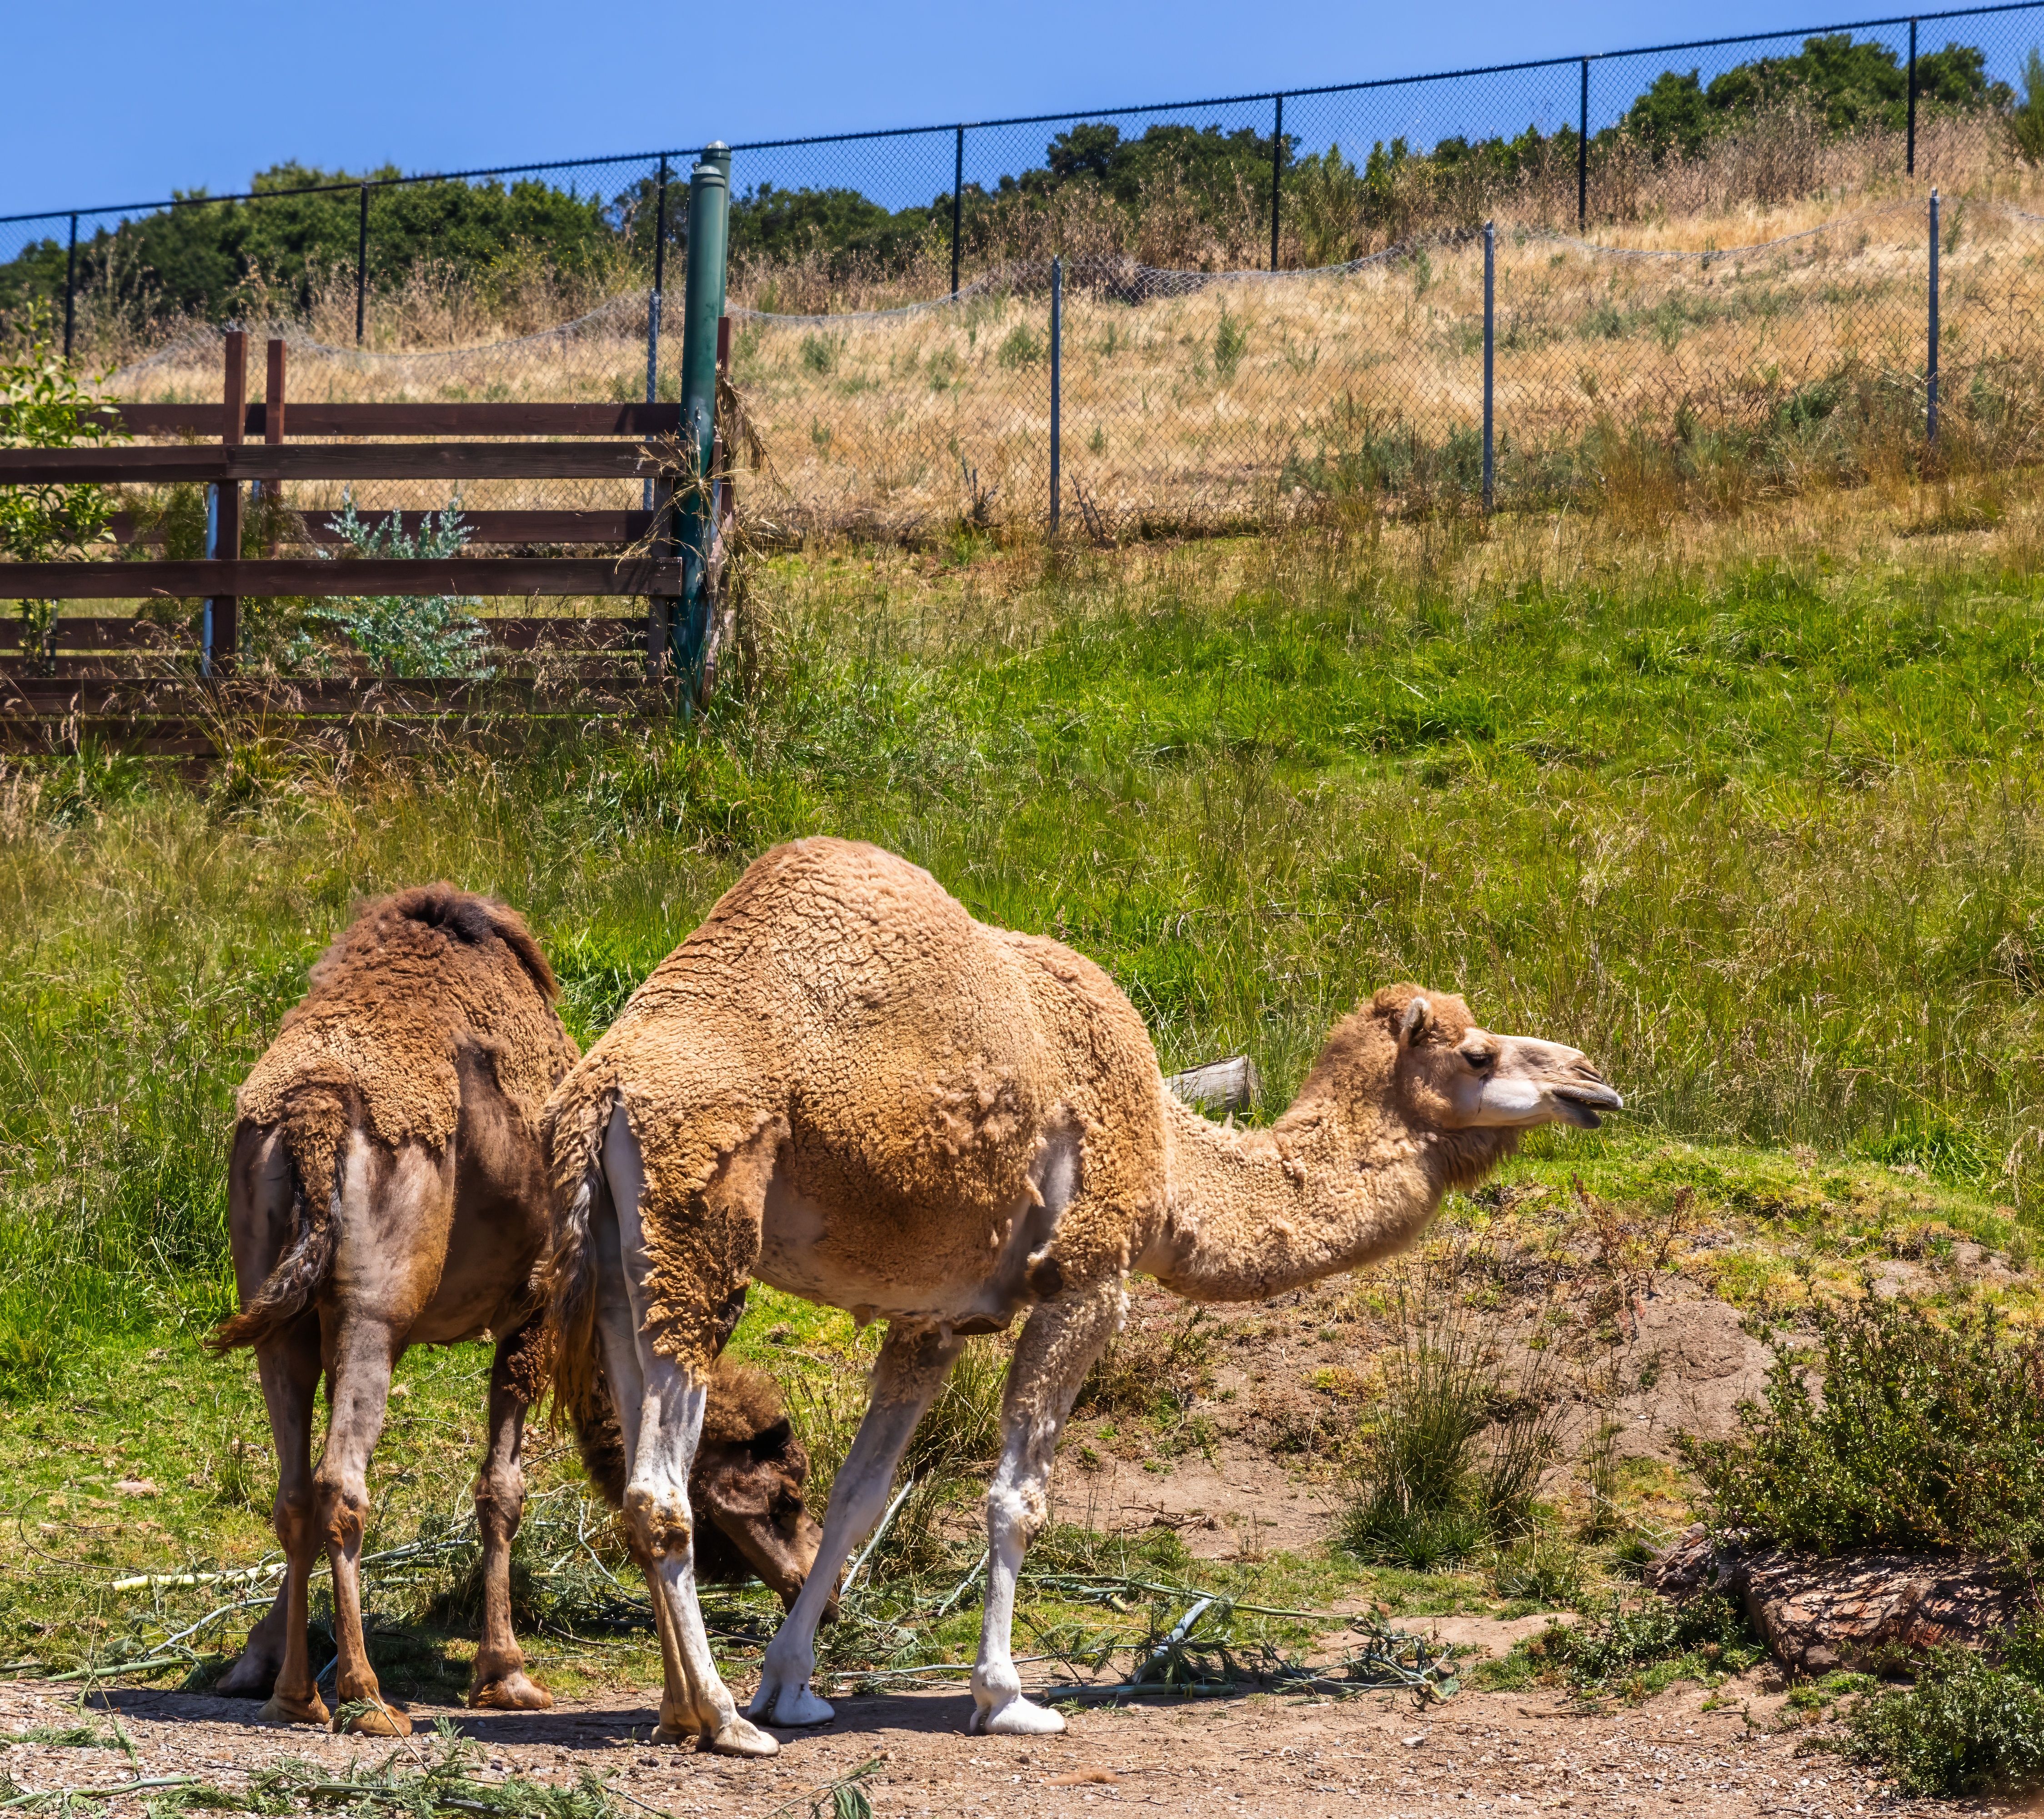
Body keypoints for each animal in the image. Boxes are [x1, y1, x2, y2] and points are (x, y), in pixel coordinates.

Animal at [212, 885, 826, 1734]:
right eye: (782, 1498)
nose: (814, 1582)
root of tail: (315, 1112)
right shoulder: (534, 1310)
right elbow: (502, 1490)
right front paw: (507, 1673)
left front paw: (254, 1661)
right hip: (372, 1310)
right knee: (341, 1485)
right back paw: (367, 1697)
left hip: (277, 1301)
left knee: (296, 1489)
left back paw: (299, 1695)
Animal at [541, 837, 1621, 1755]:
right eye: (1478, 1056)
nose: (1592, 1080)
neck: (1174, 1163)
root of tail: (602, 1087)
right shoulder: (1089, 1281)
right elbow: (1016, 1496)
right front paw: (1006, 1696)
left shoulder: (931, 1318)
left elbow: (857, 1497)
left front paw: (794, 1686)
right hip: (702, 1231)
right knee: (659, 1488)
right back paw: (724, 1721)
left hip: (626, 1266)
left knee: (638, 1464)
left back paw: (685, 1707)